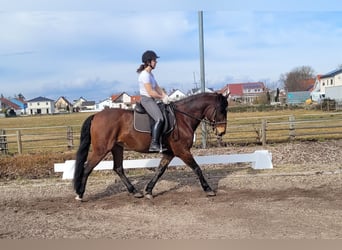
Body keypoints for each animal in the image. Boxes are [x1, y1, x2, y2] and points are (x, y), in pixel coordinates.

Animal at [73, 92, 228, 201]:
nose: (221, 132)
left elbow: (160, 170)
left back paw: (135, 192)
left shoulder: (170, 152)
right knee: (87, 168)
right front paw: (208, 189)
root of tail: (96, 115)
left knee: (118, 168)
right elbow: (197, 168)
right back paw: (80, 194)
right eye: (221, 110)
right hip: (101, 149)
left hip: (117, 148)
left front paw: (148, 191)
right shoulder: (182, 150)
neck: (183, 118)